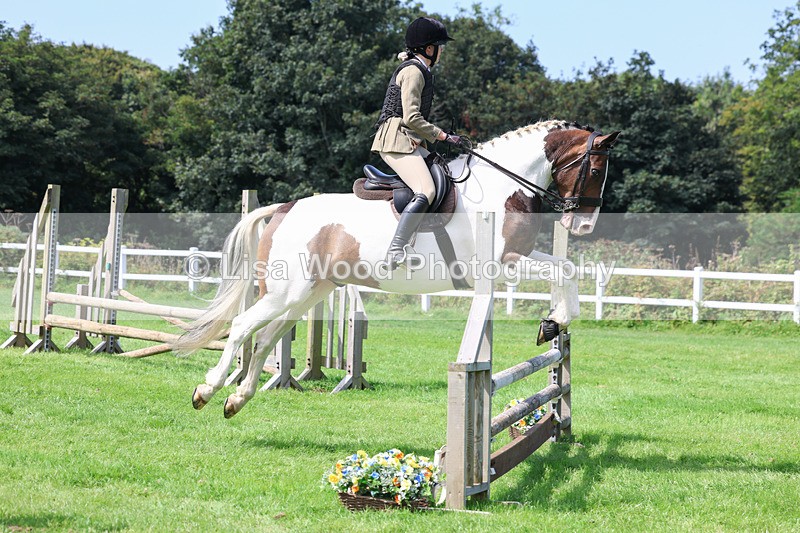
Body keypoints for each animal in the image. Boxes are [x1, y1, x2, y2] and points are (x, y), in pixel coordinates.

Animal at [176, 120, 620, 418]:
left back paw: (238, 399)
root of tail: (284, 208)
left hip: (308, 293)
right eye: (597, 171)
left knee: (267, 337)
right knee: (242, 327)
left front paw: (553, 324)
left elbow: (566, 268)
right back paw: (207, 390)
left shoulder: (519, 257)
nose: (583, 226)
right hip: (288, 291)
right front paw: (555, 321)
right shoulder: (502, 265)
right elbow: (563, 272)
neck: (504, 187)